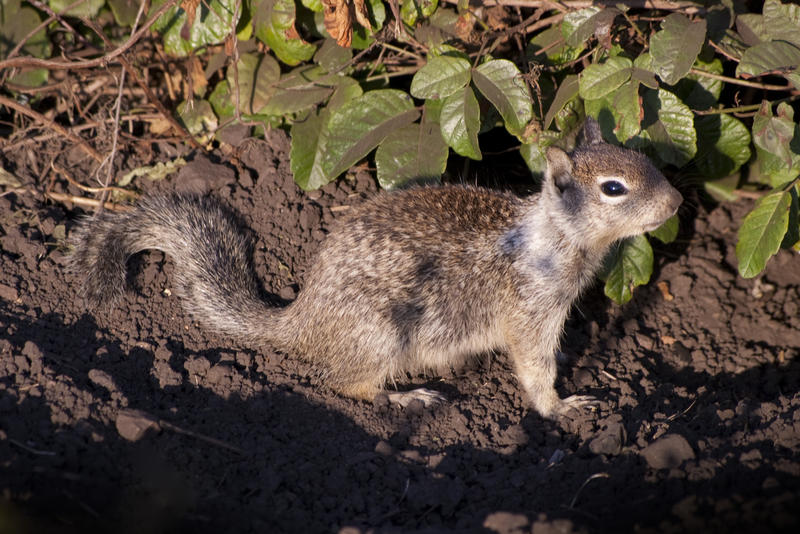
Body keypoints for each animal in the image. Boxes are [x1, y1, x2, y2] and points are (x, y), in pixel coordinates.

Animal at [69, 119, 680, 420]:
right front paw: (560, 407)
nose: (675, 202)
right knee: (343, 385)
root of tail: (300, 322)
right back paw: (404, 398)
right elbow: (534, 369)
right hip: (381, 334)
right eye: (613, 189)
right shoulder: (531, 312)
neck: (553, 237)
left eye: (644, 159)